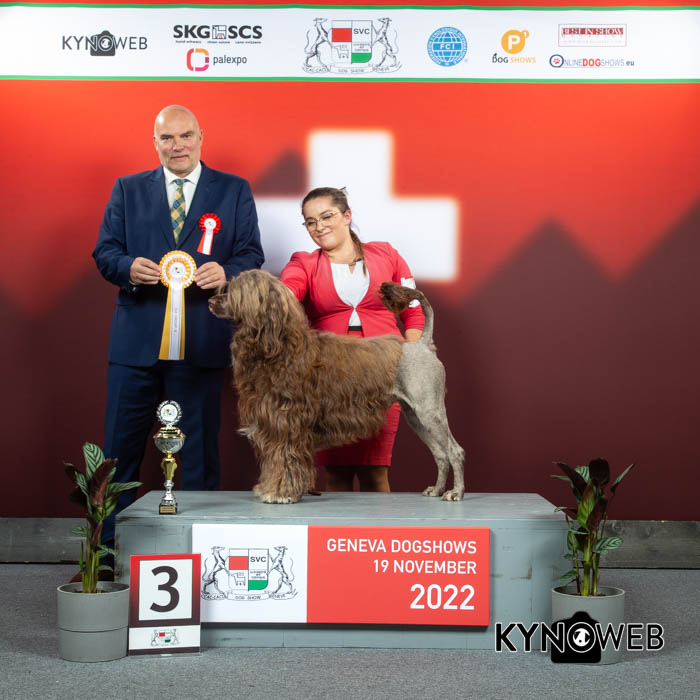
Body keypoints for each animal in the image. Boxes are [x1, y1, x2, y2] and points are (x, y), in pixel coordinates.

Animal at [209, 269, 465, 504]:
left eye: (234, 291)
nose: (211, 301)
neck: (279, 347)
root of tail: (422, 344)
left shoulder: (287, 422)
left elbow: (284, 459)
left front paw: (281, 493)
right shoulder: (273, 422)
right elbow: (275, 459)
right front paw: (270, 489)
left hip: (429, 411)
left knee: (455, 451)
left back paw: (456, 492)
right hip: (415, 416)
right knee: (441, 454)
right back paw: (437, 490)